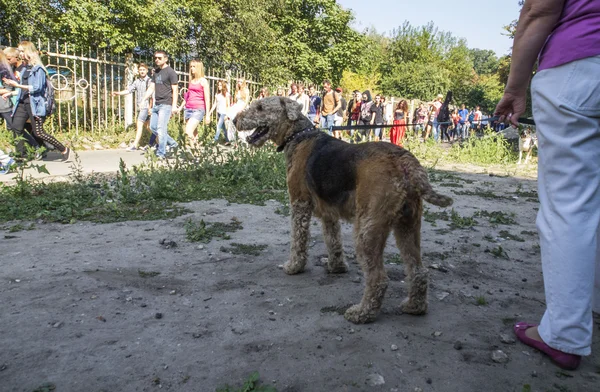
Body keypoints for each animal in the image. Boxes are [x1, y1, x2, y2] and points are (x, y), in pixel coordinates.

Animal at [237, 96, 452, 324]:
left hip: (367, 231)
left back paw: (361, 313)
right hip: (408, 225)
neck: (299, 136)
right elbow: (333, 241)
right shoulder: (329, 213)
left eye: (260, 108)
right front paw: (337, 267)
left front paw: (294, 266)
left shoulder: (299, 204)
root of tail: (405, 161)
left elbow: (298, 241)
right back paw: (414, 306)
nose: (235, 120)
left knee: (379, 279)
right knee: (418, 271)